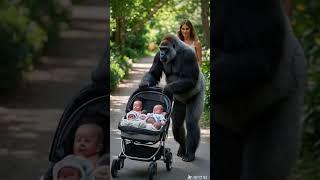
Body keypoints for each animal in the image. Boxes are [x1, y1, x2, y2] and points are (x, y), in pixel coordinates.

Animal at [139, 33, 205, 162]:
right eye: (161, 49)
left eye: (165, 49)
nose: (162, 54)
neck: (176, 53)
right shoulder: (157, 56)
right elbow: (153, 73)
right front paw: (144, 85)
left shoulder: (189, 56)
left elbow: (190, 79)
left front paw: (167, 89)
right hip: (178, 102)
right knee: (177, 124)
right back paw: (183, 147)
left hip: (199, 93)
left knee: (191, 123)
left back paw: (190, 153)